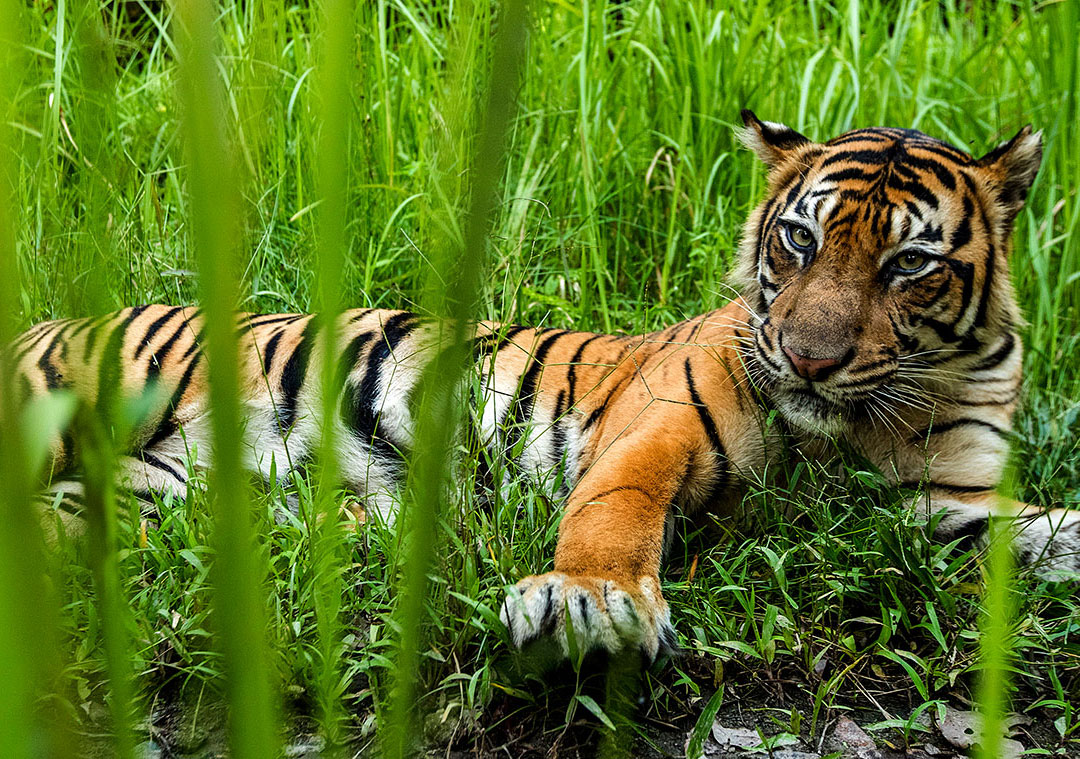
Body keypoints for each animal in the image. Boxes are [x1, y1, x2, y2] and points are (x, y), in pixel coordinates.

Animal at [7, 111, 1077, 665]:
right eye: (799, 240)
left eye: (908, 266)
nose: (810, 359)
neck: (860, 421)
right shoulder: (659, 418)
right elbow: (616, 507)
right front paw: (588, 604)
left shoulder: (939, 500)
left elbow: (1046, 529)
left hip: (131, 501)